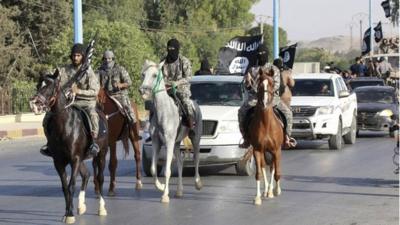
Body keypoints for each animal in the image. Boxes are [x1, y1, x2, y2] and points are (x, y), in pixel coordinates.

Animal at [30, 71, 108, 223]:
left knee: (100, 178)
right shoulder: (59, 162)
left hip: (101, 153)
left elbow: (71, 185)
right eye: (38, 85)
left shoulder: (75, 159)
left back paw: (102, 208)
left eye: (50, 86)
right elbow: (65, 187)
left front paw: (70, 214)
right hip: (82, 158)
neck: (64, 126)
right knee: (86, 175)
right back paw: (81, 206)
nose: (35, 104)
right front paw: (67, 212)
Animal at [140, 59, 203, 203]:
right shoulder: (157, 142)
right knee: (180, 163)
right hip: (176, 143)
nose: (142, 90)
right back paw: (179, 191)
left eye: (154, 75)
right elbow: (153, 169)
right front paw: (161, 186)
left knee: (196, 158)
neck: (163, 111)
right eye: (143, 74)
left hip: (195, 138)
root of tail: (195, 104)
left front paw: (165, 195)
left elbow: (167, 170)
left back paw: (198, 183)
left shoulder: (168, 142)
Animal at [248, 67, 286, 206]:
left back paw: (272, 190)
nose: (264, 102)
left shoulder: (276, 150)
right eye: (259, 84)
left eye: (272, 84)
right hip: (264, 151)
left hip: (275, 151)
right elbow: (258, 173)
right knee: (265, 166)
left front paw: (275, 190)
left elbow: (276, 172)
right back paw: (266, 190)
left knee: (274, 167)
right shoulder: (257, 150)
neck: (266, 124)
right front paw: (258, 197)